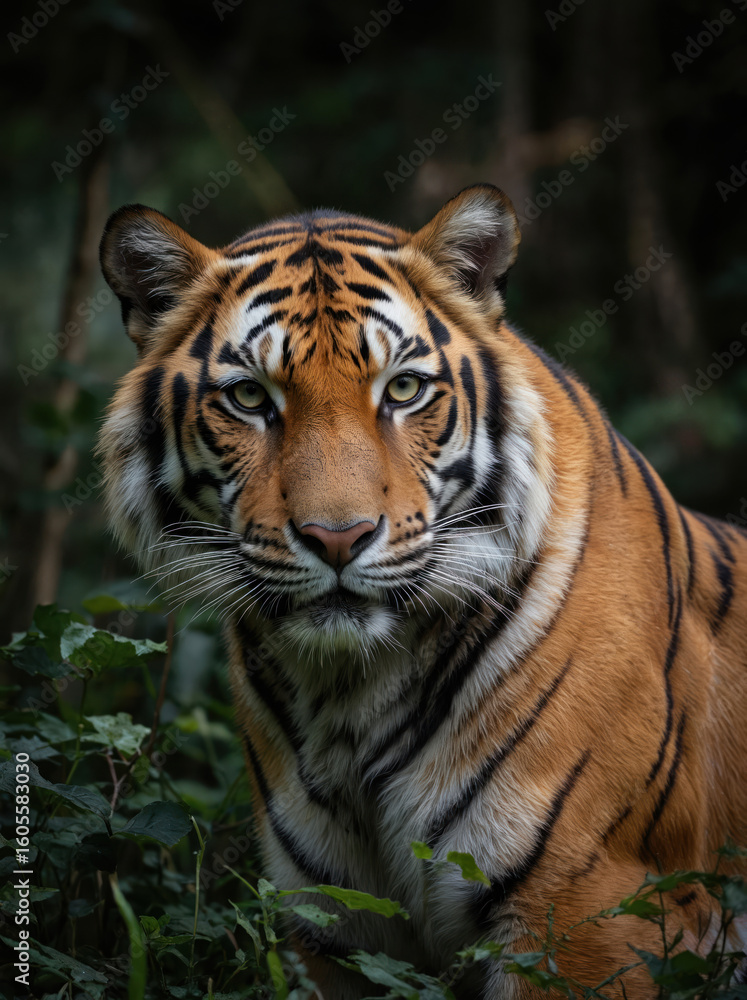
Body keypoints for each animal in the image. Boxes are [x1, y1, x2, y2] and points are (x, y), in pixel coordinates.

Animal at [97, 184, 747, 998]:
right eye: (248, 397)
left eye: (403, 389)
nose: (336, 537)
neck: (347, 700)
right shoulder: (336, 929)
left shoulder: (585, 913)